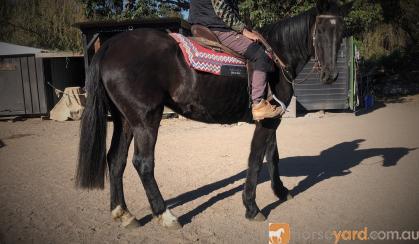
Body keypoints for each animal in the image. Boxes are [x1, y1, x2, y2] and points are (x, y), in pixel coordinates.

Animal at [77, 0, 352, 229]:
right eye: (320, 31)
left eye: (341, 33)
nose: (330, 75)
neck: (276, 58)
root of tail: (110, 44)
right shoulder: (266, 122)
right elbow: (255, 160)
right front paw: (252, 208)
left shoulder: (272, 118)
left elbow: (273, 156)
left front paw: (281, 191)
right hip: (145, 119)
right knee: (143, 163)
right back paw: (165, 215)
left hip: (125, 120)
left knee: (116, 160)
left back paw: (123, 213)